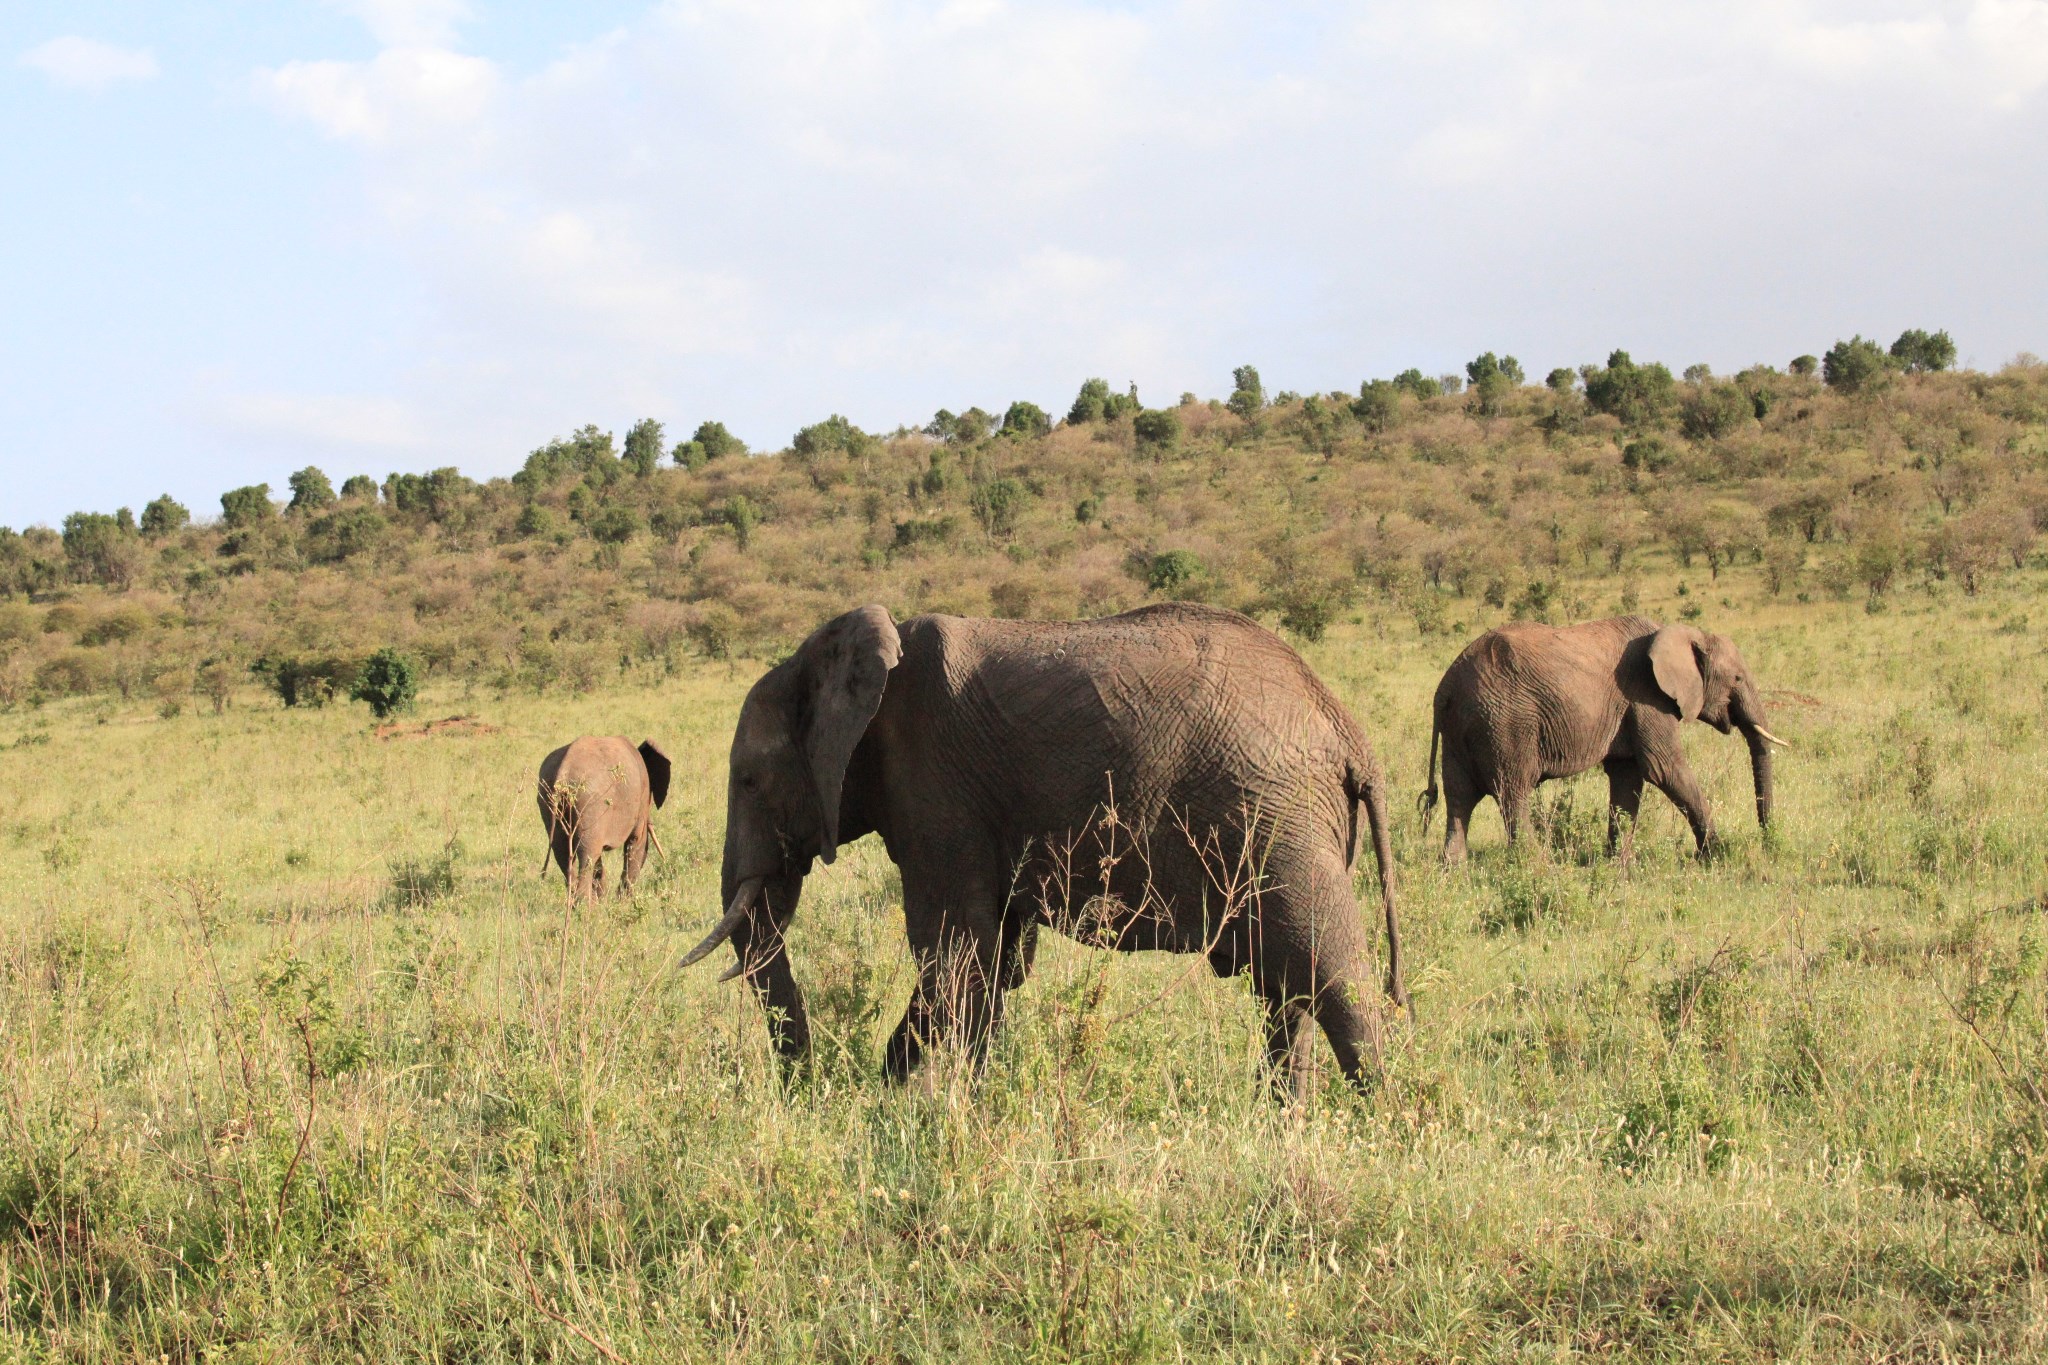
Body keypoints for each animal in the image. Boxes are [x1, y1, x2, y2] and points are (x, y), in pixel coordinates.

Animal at [536, 736, 671, 908]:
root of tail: (564, 770)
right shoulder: (641, 798)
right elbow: (636, 842)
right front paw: (623, 902)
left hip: (547, 799)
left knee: (563, 853)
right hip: (591, 803)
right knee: (587, 856)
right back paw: (585, 907)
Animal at [671, 605, 1409, 1096]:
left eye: (748, 780)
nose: (809, 1088)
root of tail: (1346, 728)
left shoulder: (934, 784)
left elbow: (954, 950)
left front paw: (934, 1110)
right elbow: (996, 959)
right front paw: (912, 1096)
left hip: (1277, 815)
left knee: (1330, 974)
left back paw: (1380, 1120)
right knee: (1285, 988)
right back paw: (1284, 1120)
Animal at [1425, 618, 1794, 863]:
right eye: (1737, 678)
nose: (1767, 841)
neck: (1681, 633)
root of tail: (1446, 687)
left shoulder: (1630, 709)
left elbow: (1627, 779)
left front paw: (1618, 864)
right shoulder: (1647, 697)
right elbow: (1664, 770)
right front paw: (1718, 856)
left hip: (1462, 730)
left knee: (1459, 797)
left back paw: (1454, 870)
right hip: (1505, 724)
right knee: (1512, 793)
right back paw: (1536, 867)